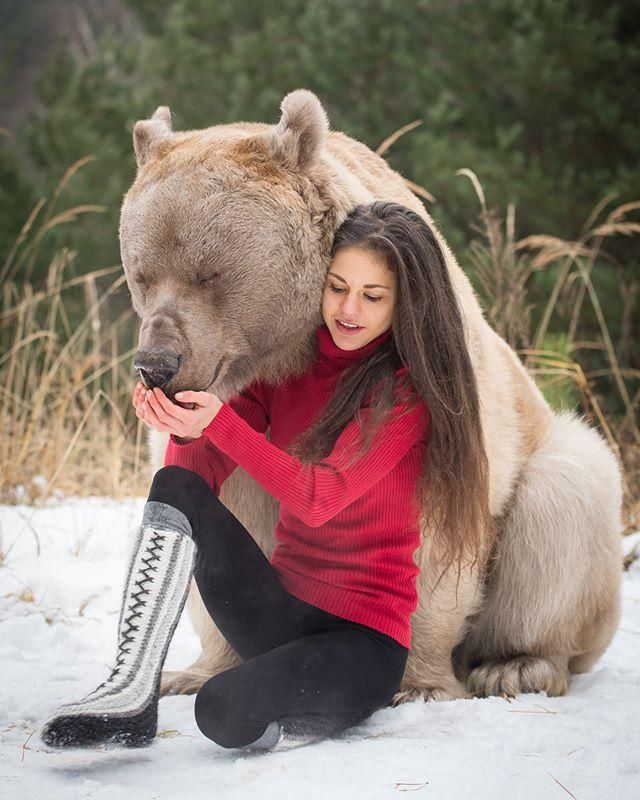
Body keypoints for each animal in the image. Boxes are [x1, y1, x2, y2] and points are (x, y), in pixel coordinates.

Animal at [117, 86, 624, 700]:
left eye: (209, 273)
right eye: (142, 274)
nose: (157, 365)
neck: (288, 352)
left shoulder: (439, 406)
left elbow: (427, 536)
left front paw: (421, 683)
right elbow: (220, 503)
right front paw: (192, 673)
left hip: (552, 463)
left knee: (564, 505)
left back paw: (516, 664)